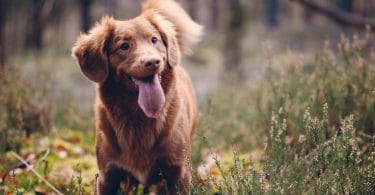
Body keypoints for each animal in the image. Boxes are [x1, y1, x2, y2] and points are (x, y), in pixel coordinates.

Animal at [72, 0, 204, 193]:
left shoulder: (178, 173)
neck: (138, 117)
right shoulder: (107, 177)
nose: (153, 62)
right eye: (124, 46)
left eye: (154, 40)